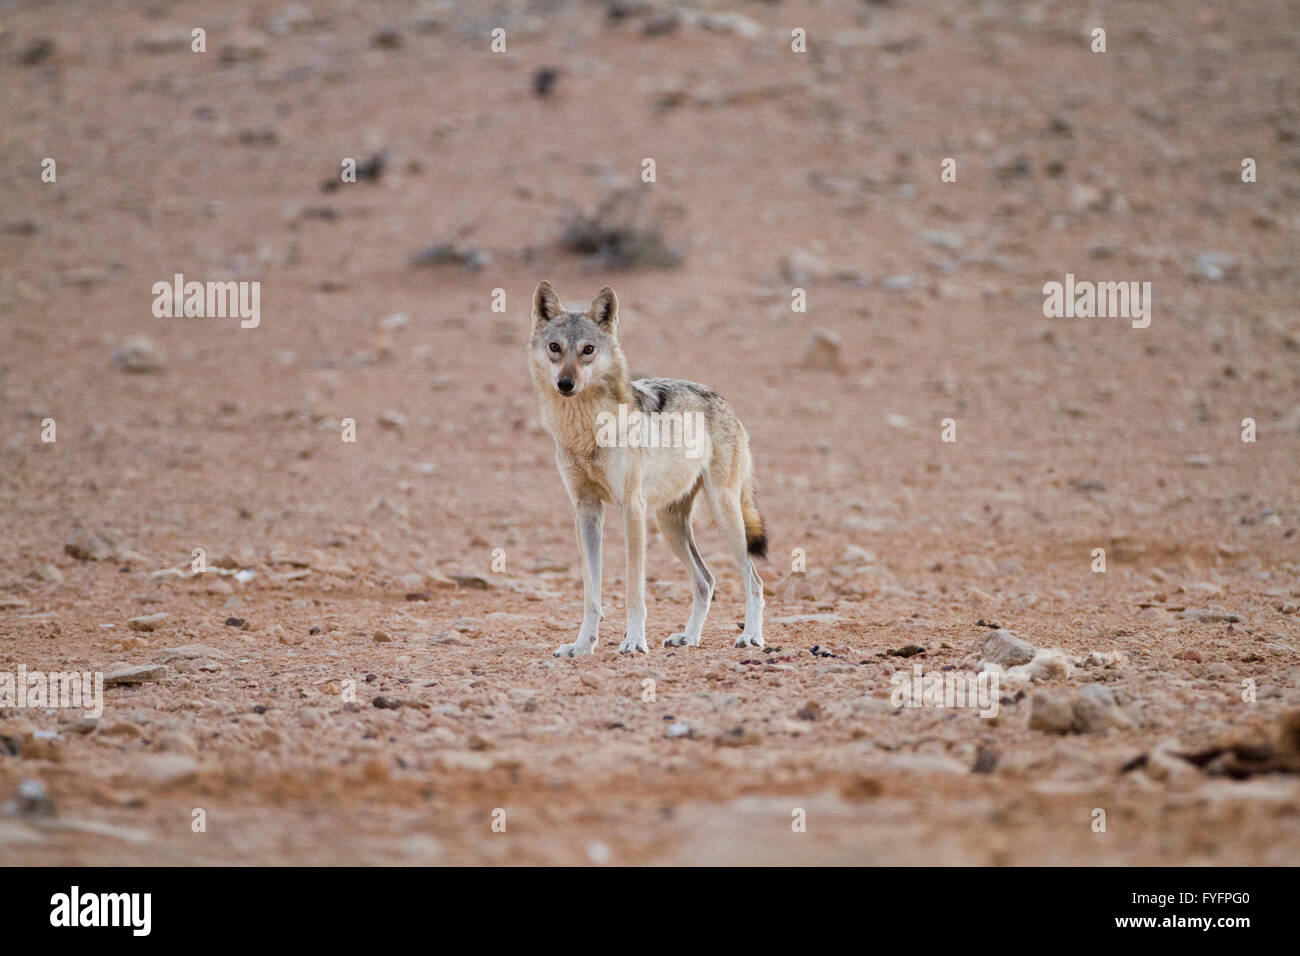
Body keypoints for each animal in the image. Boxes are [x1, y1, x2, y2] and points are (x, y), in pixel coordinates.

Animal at [527, 282, 764, 658]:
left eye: (588, 350)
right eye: (555, 348)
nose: (565, 383)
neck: (586, 430)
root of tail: (724, 401)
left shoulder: (631, 508)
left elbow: (634, 590)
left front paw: (634, 641)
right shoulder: (586, 510)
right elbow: (591, 595)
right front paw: (581, 645)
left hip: (724, 513)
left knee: (753, 579)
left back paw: (751, 636)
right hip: (669, 525)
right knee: (706, 580)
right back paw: (688, 637)